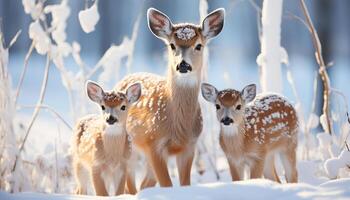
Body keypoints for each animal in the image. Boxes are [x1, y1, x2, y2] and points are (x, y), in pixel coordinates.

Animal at [115, 7, 224, 187]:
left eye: (199, 45)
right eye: (172, 45)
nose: (183, 65)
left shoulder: (189, 146)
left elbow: (185, 183)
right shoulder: (153, 143)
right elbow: (167, 184)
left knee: (144, 185)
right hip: (129, 147)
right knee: (130, 185)